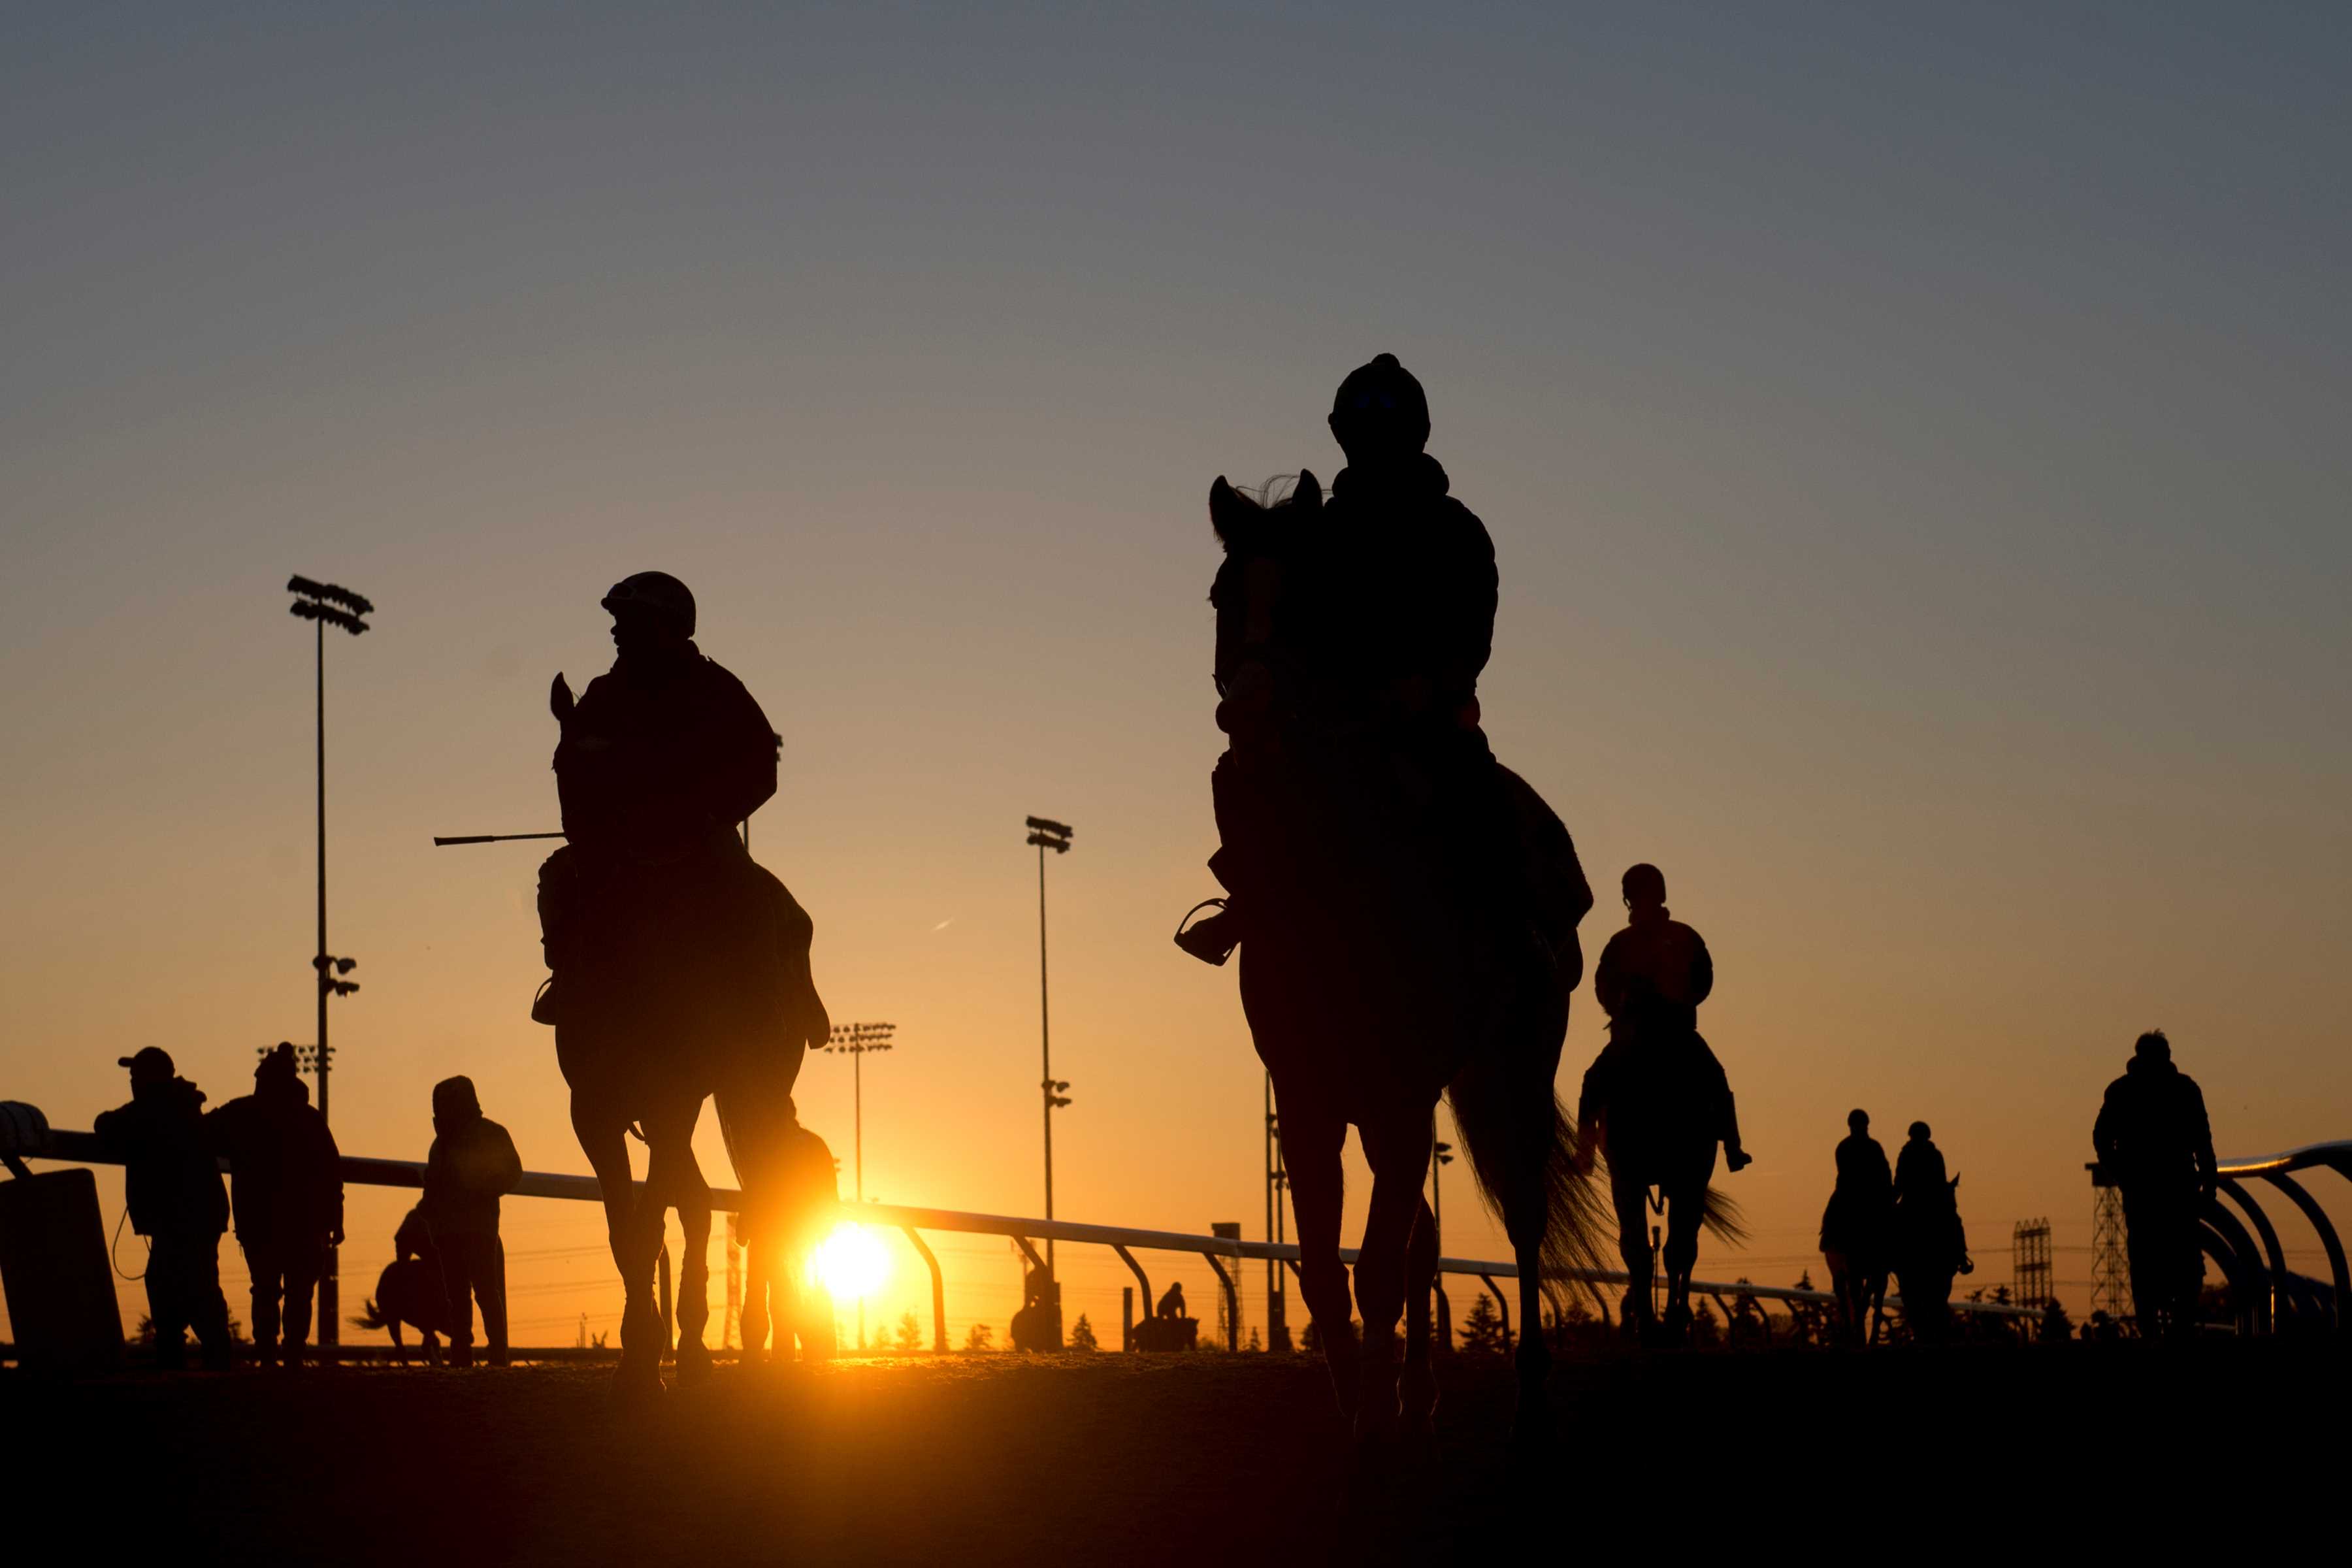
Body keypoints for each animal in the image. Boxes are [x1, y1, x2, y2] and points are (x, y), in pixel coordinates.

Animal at [1204, 480, 1609, 1448]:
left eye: (1312, 596)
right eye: (1223, 597)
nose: (1246, 713)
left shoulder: (1398, 1093)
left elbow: (1380, 1264)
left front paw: (1374, 1419)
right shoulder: (1309, 1101)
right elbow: (1329, 1264)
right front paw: (1358, 1401)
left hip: (1514, 1061)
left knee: (1521, 1214)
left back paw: (1527, 1390)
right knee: (1424, 1234)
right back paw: (1421, 1387)